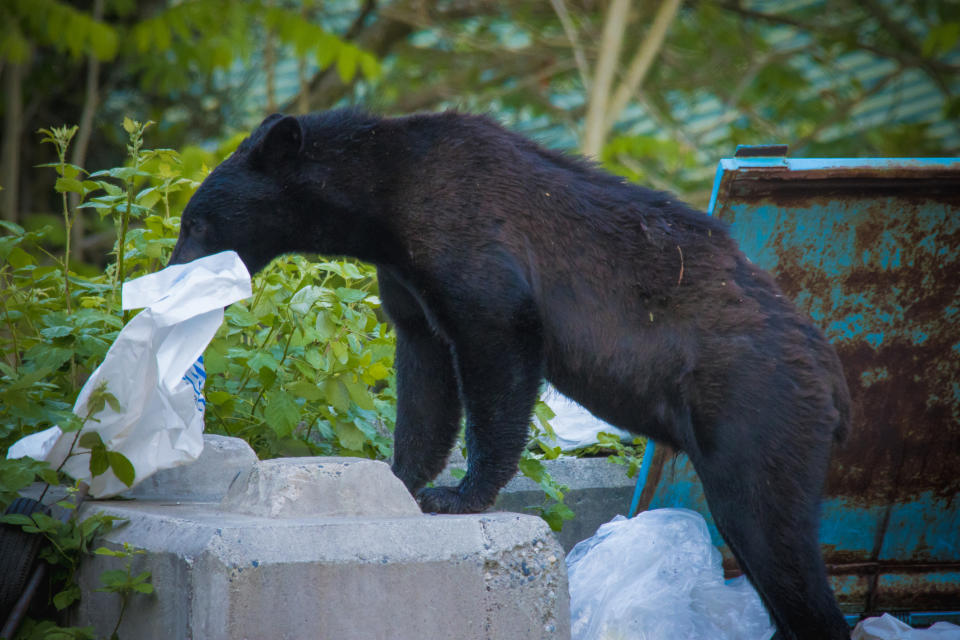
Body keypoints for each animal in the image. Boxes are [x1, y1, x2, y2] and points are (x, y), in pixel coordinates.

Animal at [169, 110, 852, 640]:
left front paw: (460, 494)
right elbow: (425, 378)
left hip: (754, 412)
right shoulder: (408, 282)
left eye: (194, 221)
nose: (172, 272)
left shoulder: (470, 239)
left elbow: (495, 350)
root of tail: (833, 377)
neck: (386, 197)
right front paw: (401, 478)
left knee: (769, 530)